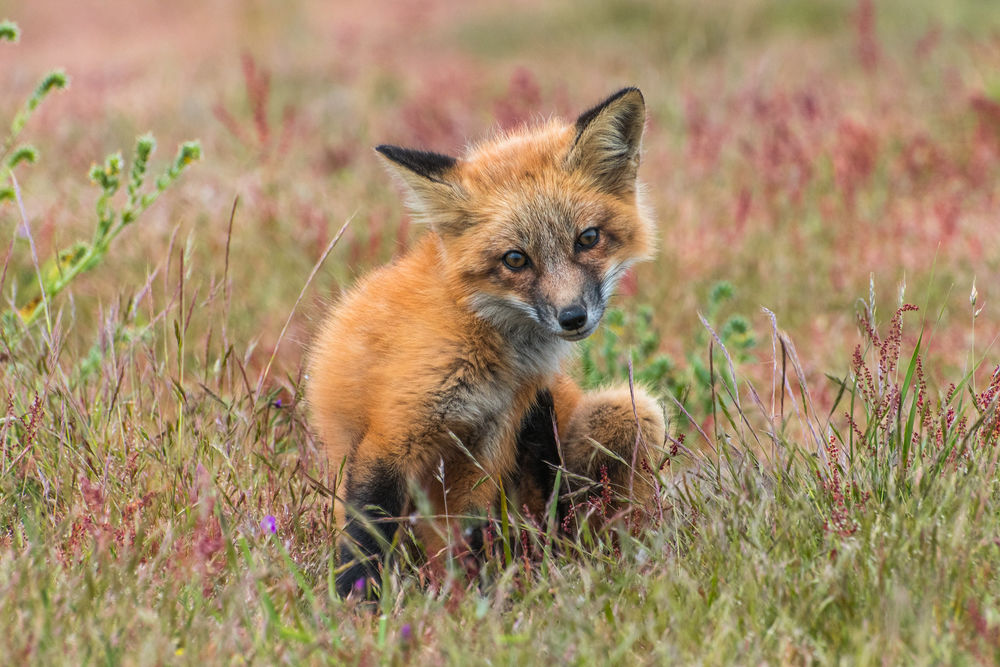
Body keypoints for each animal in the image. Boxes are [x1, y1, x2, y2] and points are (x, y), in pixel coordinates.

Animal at [306, 87, 666, 598]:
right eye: (515, 259)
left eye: (588, 238)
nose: (572, 317)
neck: (477, 331)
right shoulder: (392, 434)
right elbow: (365, 539)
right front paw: (353, 607)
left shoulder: (487, 443)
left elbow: (470, 536)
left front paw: (475, 599)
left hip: (634, 413)